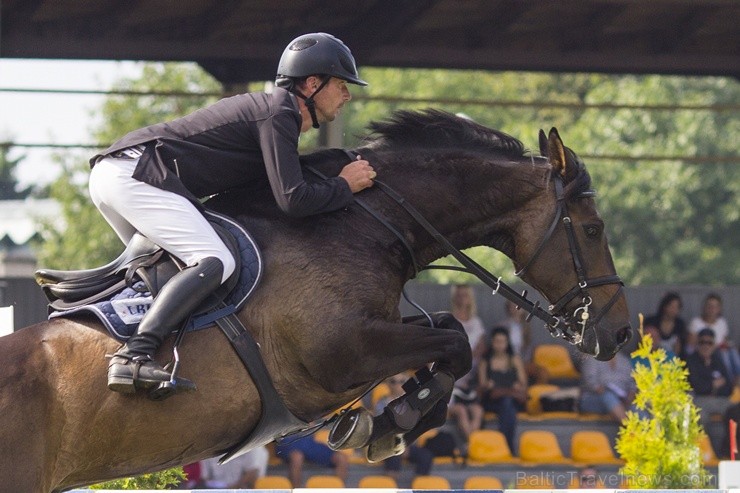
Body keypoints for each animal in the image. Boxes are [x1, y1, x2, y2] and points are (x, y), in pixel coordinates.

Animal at [0, 109, 632, 490]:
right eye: (594, 228)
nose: (621, 333)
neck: (357, 223)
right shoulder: (342, 354)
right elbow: (456, 345)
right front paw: (393, 422)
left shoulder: (376, 334)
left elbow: (449, 333)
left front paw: (390, 419)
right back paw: (138, 368)